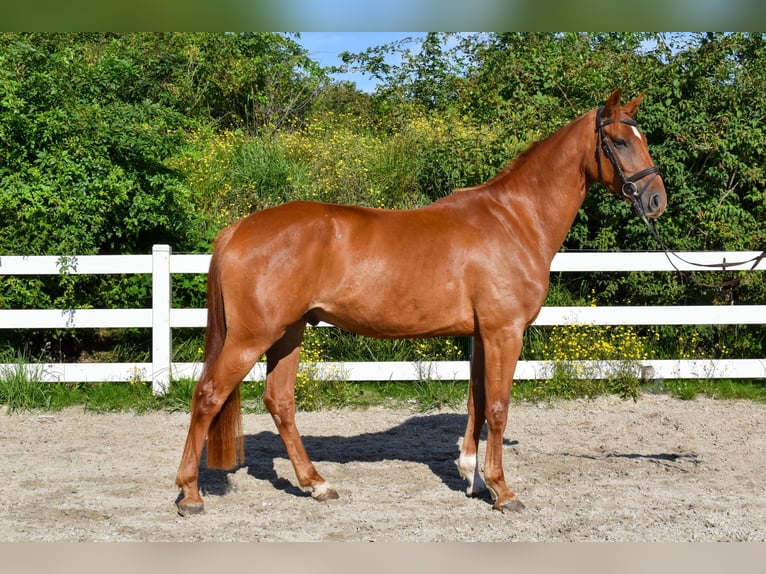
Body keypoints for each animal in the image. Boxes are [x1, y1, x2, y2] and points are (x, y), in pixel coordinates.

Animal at [175, 88, 667, 515]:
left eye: (642, 139)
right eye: (620, 141)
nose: (656, 199)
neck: (513, 220)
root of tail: (237, 229)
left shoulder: (481, 335)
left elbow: (477, 402)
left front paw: (472, 477)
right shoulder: (504, 332)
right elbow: (499, 407)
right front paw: (503, 491)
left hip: (288, 333)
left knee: (280, 402)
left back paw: (317, 484)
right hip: (251, 337)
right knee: (208, 395)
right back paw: (190, 494)